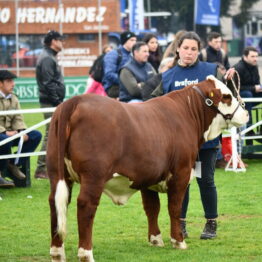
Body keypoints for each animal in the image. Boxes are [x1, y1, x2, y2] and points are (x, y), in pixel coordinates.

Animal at [47, 74, 248, 260]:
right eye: (227, 96)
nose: (245, 113)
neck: (187, 114)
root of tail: (74, 101)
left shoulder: (147, 176)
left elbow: (152, 208)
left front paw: (155, 239)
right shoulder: (181, 173)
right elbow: (175, 208)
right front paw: (179, 241)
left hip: (57, 173)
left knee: (55, 202)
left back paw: (57, 252)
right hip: (93, 175)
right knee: (85, 205)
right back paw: (86, 253)